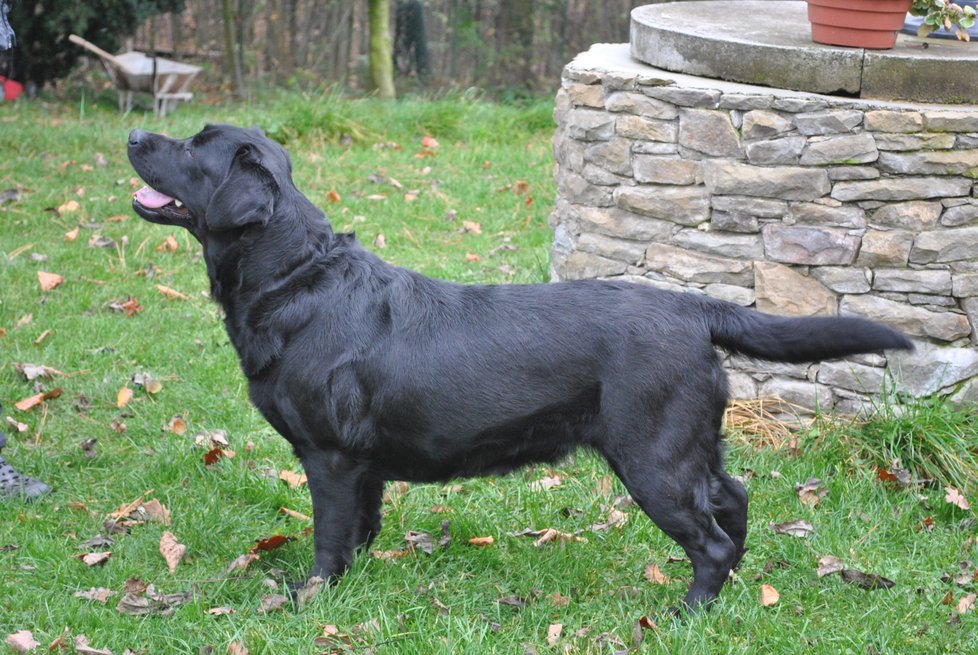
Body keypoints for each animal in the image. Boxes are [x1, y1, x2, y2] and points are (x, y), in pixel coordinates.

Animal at [126, 127, 912, 608]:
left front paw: (309, 597)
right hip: (690, 440)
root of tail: (692, 307)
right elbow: (360, 530)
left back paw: (688, 613)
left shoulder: (331, 455)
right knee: (735, 499)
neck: (297, 277)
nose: (133, 136)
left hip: (651, 454)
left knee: (711, 536)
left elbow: (327, 536)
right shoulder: (364, 464)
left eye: (195, 149)